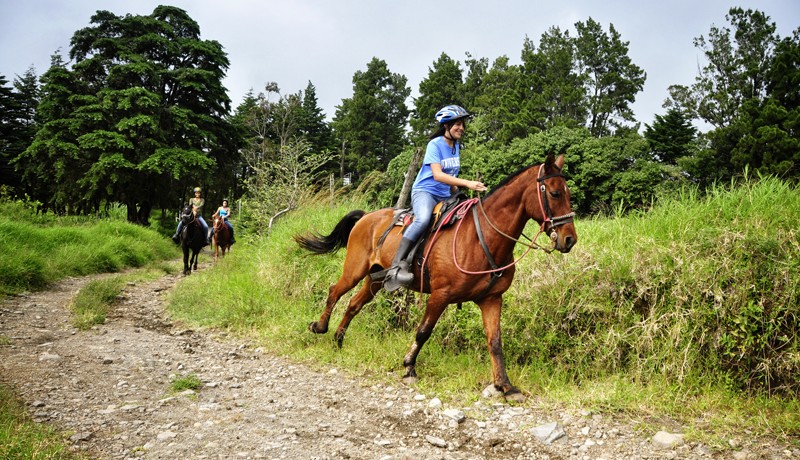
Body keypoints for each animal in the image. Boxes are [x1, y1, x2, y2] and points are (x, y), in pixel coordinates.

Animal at [294, 153, 576, 400]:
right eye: (554, 193)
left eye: (569, 193)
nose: (569, 239)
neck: (481, 237)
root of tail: (366, 217)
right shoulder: (441, 295)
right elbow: (423, 331)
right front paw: (409, 367)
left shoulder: (492, 299)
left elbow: (495, 342)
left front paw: (505, 386)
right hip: (355, 270)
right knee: (335, 291)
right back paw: (320, 327)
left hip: (375, 279)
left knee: (354, 304)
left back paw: (339, 339)